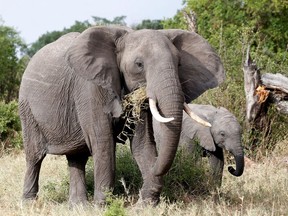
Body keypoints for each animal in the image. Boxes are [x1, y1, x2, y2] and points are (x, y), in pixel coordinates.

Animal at [19, 26, 225, 205]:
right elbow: (103, 142)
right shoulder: (89, 87)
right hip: (27, 108)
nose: (155, 167)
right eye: (139, 64)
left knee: (77, 157)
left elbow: (142, 144)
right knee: (35, 156)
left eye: (179, 64)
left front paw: (145, 205)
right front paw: (102, 206)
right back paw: (29, 204)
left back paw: (79, 207)